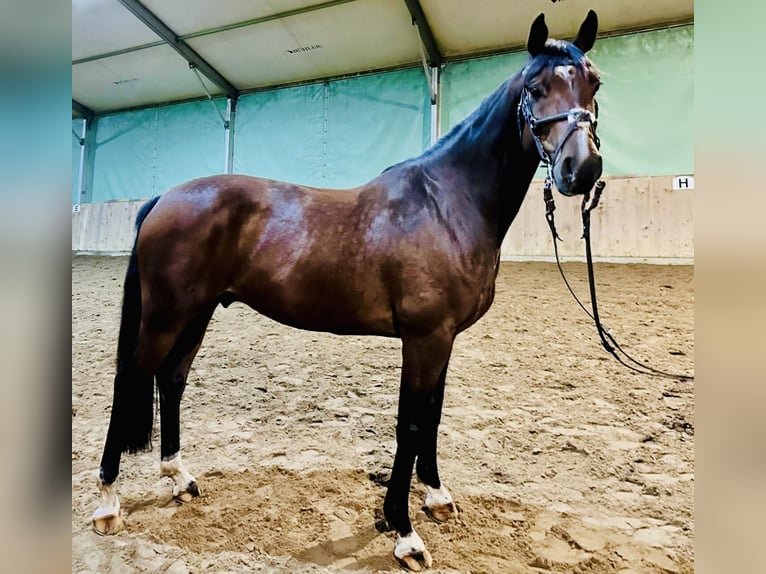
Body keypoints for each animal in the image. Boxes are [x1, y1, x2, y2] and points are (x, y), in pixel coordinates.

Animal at [91, 11, 608, 572]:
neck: (447, 203)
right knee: (130, 378)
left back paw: (181, 478)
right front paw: (404, 532)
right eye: (536, 88)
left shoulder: (445, 339)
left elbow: (433, 416)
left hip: (197, 312)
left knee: (172, 379)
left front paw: (436, 498)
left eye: (594, 82)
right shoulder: (425, 338)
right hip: (165, 315)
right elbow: (410, 424)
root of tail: (165, 197)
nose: (581, 169)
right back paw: (107, 503)